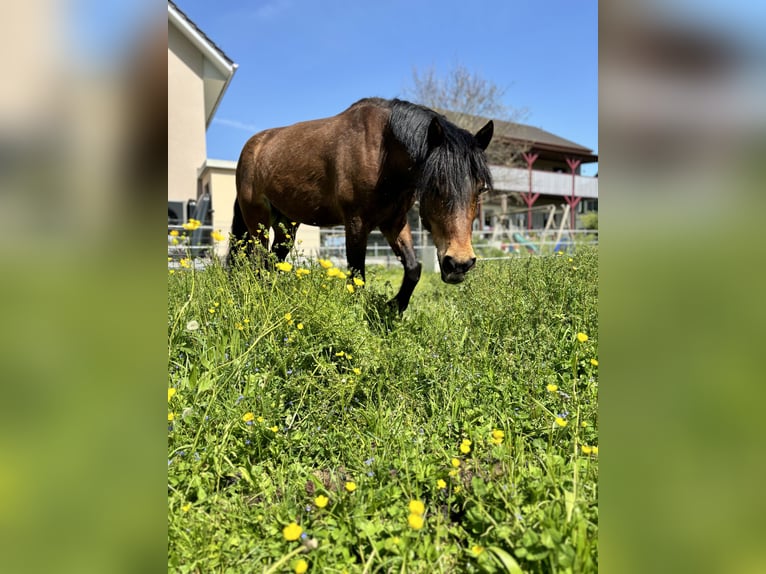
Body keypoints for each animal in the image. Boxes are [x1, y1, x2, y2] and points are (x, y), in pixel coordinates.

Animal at [228, 99, 496, 316]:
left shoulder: (394, 222)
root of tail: (253, 147)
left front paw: (394, 306)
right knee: (258, 262)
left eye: (481, 189)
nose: (459, 264)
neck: (382, 154)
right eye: (435, 185)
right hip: (258, 222)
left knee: (272, 262)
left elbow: (413, 268)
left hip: (287, 225)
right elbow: (357, 276)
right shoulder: (356, 224)